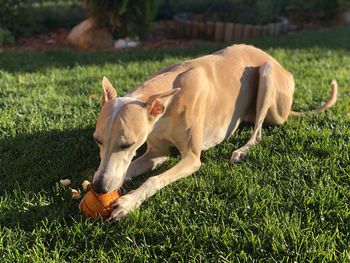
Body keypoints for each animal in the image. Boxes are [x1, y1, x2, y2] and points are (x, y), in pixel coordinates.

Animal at [91, 43, 336, 221]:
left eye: (127, 144)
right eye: (97, 141)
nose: (99, 187)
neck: (171, 97)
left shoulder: (192, 158)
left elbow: (153, 179)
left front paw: (127, 203)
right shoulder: (156, 153)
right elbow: (131, 168)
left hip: (268, 78)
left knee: (257, 133)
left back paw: (241, 151)